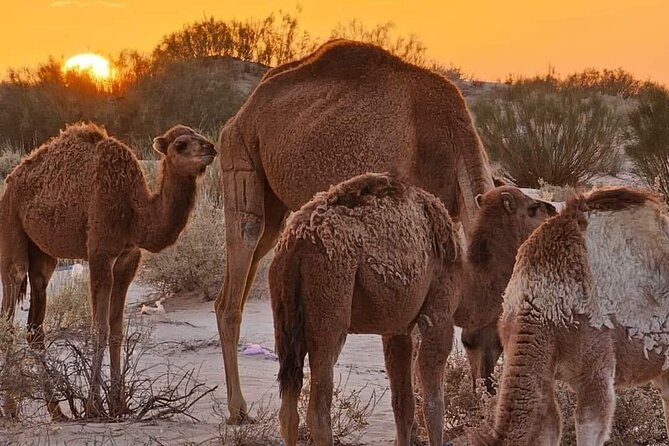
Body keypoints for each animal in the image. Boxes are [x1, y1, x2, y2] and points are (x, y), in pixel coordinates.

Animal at [0, 123, 216, 419]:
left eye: (198, 134)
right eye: (180, 144)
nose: (210, 148)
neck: (135, 213)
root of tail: (10, 181)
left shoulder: (128, 258)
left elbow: (116, 328)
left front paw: (118, 404)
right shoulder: (100, 253)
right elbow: (99, 328)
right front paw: (93, 406)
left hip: (43, 255)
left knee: (35, 325)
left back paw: (57, 411)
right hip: (11, 227)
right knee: (11, 300)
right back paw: (11, 410)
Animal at [217, 38, 494, 423]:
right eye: (470, 337)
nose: (490, 388)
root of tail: (242, 112)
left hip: (274, 203)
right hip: (240, 153)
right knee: (244, 238)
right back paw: (238, 408)